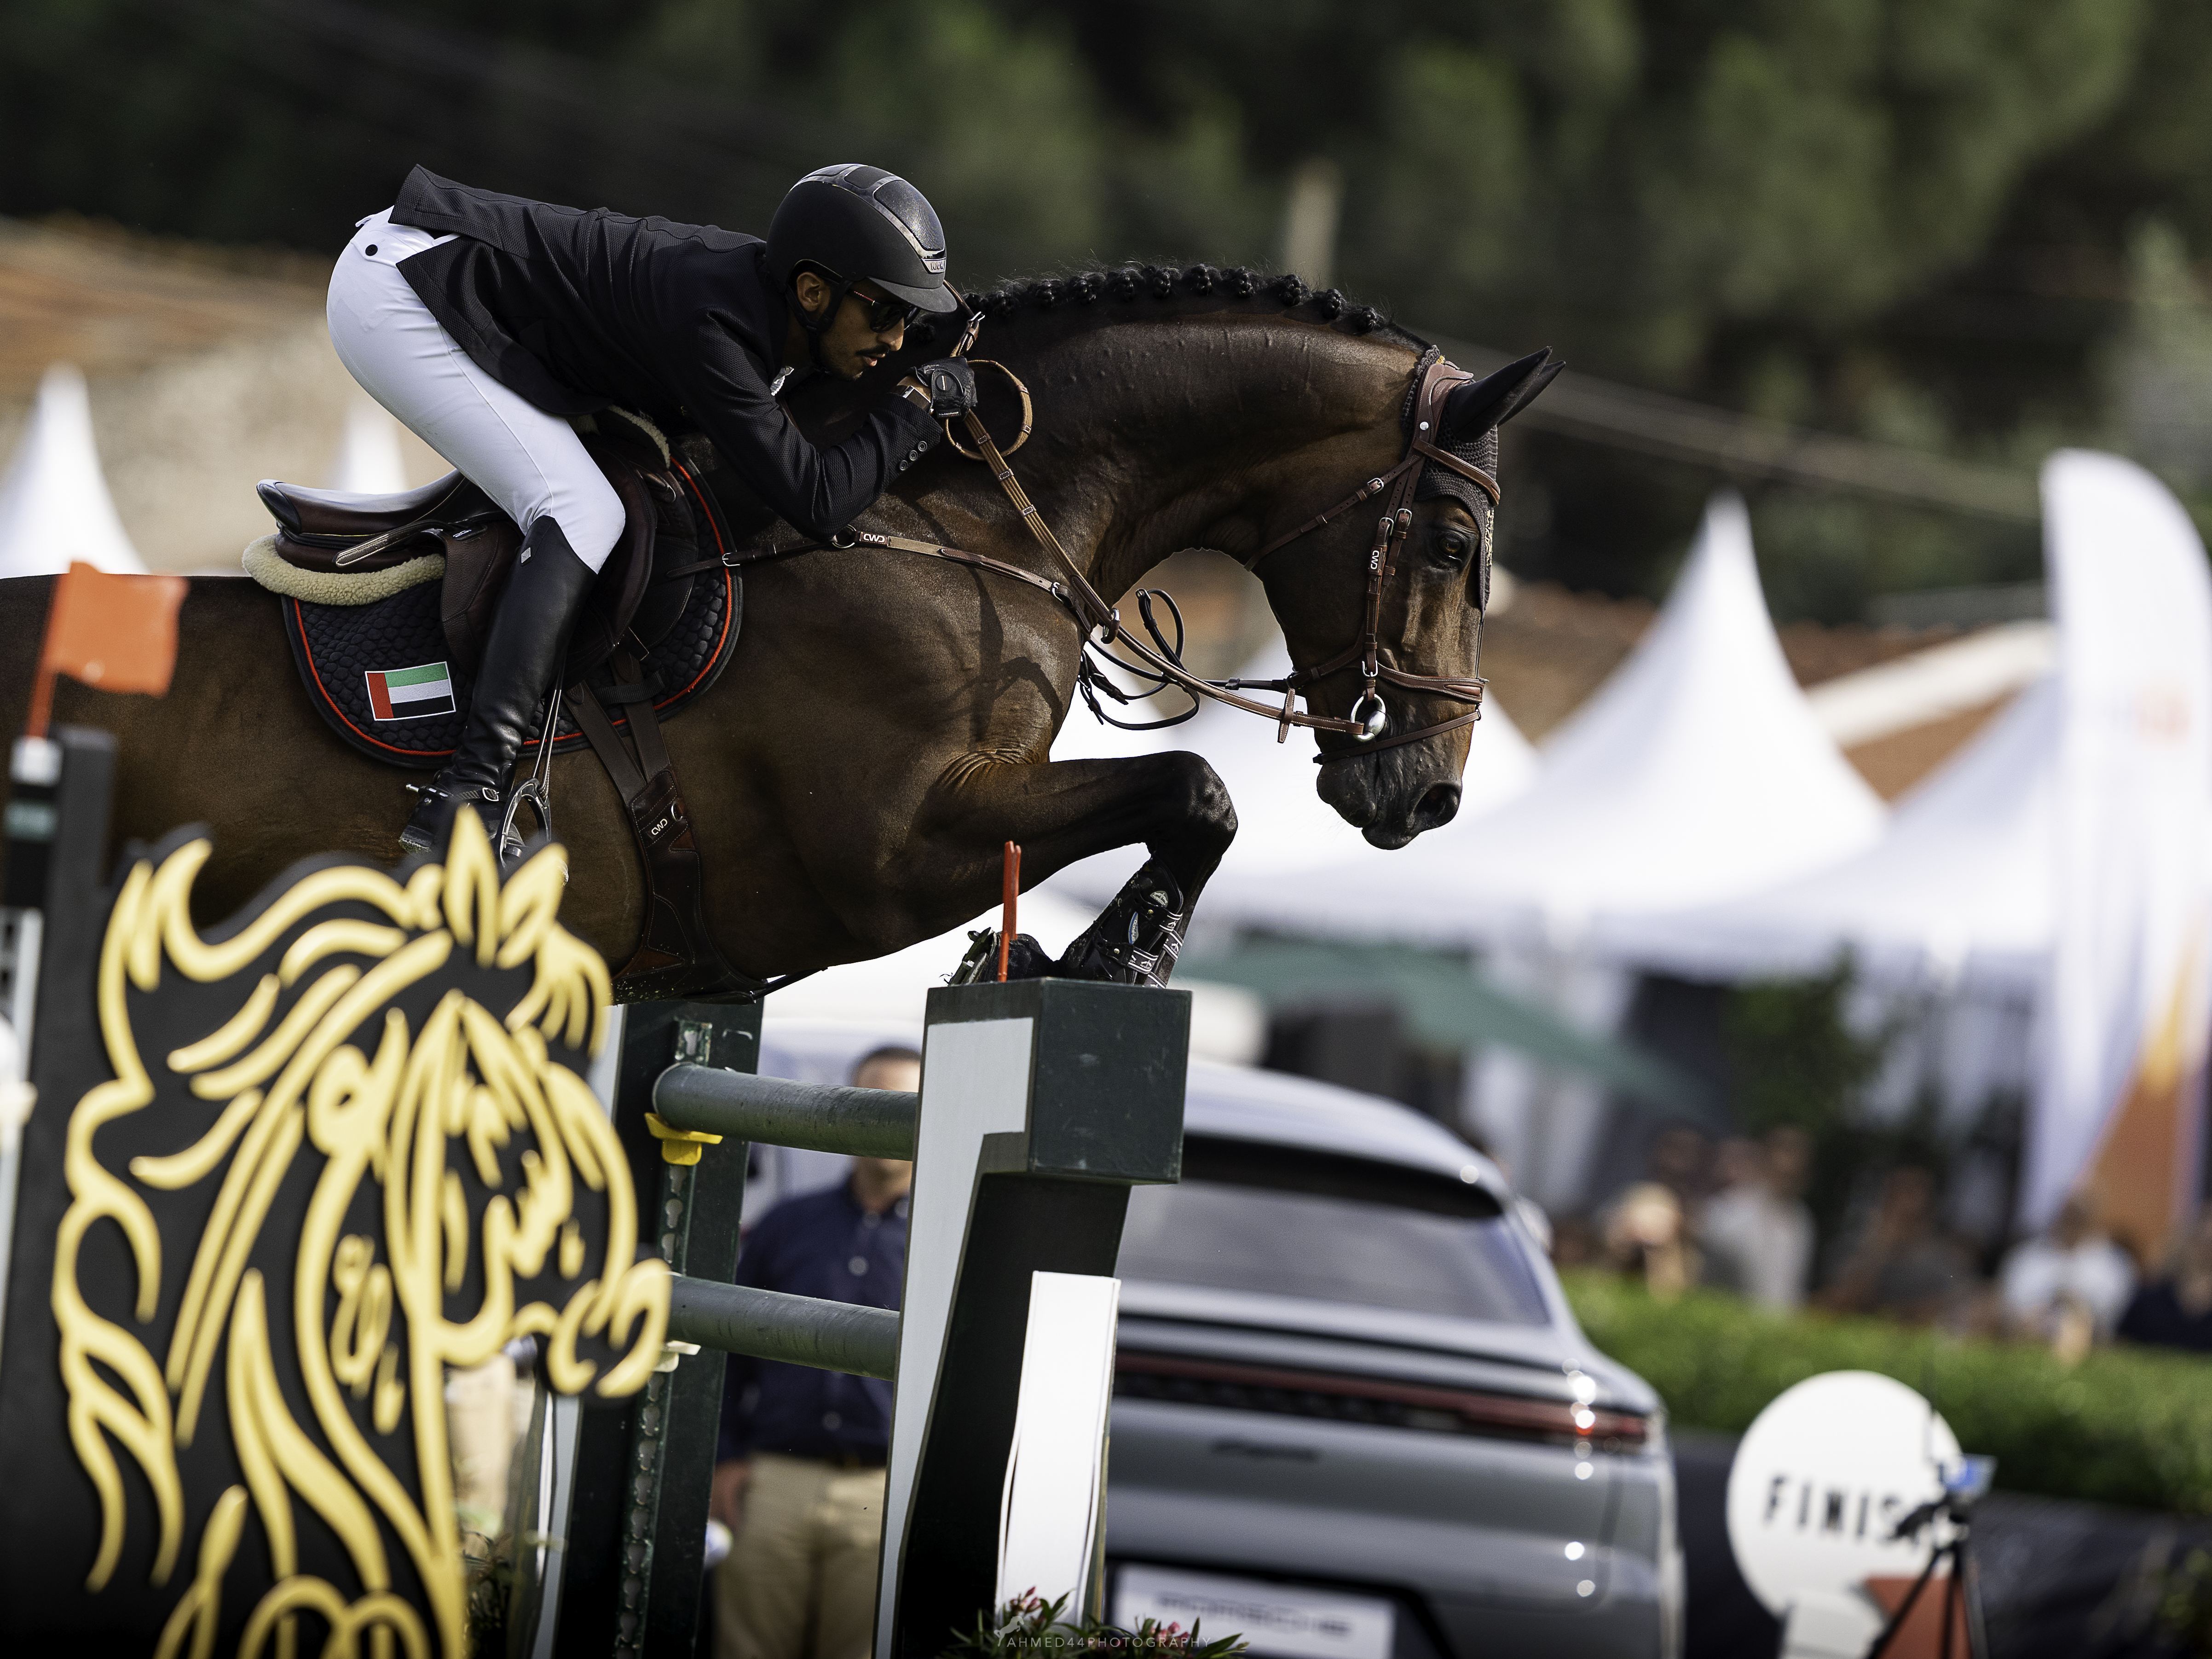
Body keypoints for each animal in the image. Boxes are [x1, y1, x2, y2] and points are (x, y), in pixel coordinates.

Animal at [0, 267, 1556, 988]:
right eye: (1453, 543)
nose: (1426, 792)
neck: (951, 521)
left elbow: (1183, 796)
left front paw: (1085, 952)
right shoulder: (891, 848)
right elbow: (1192, 786)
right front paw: (1109, 954)